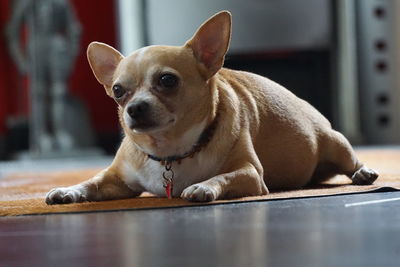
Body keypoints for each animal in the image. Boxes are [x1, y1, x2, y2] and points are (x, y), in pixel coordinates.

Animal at [46, 9, 378, 204]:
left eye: (167, 80)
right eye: (117, 91)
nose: (135, 108)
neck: (171, 152)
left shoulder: (249, 174)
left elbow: (222, 176)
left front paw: (203, 186)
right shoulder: (116, 180)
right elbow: (91, 182)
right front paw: (68, 191)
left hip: (336, 144)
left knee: (352, 162)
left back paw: (364, 173)